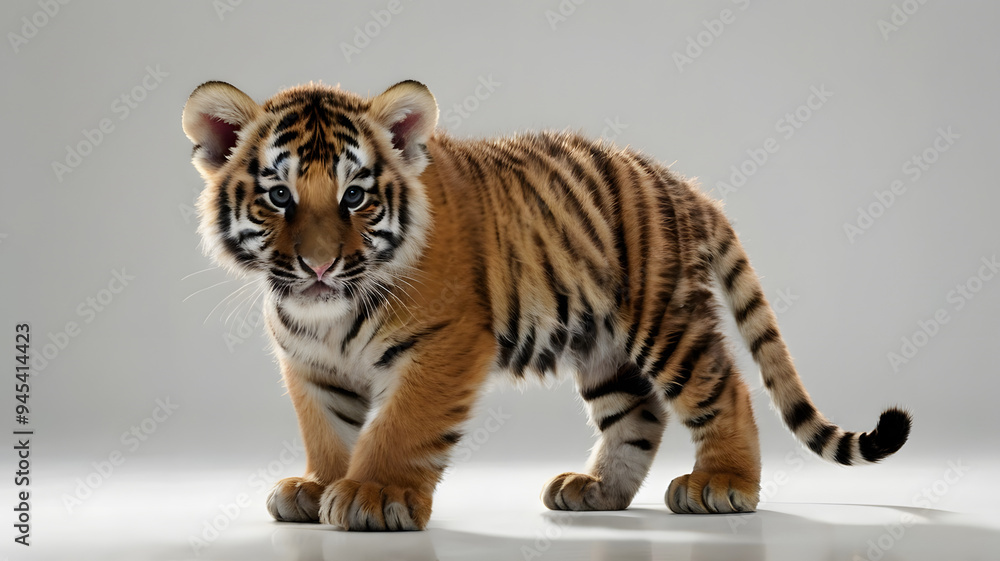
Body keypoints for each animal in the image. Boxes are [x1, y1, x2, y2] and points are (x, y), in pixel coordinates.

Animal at [181, 79, 911, 531]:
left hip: (665, 320)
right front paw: (316, 486)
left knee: (721, 386)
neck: (327, 315)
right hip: (605, 346)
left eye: (354, 196)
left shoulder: (445, 343)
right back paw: (596, 492)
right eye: (279, 196)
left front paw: (371, 493)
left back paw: (721, 484)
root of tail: (682, 184)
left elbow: (401, 426)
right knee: (638, 415)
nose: (319, 265)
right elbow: (328, 429)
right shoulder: (310, 362)